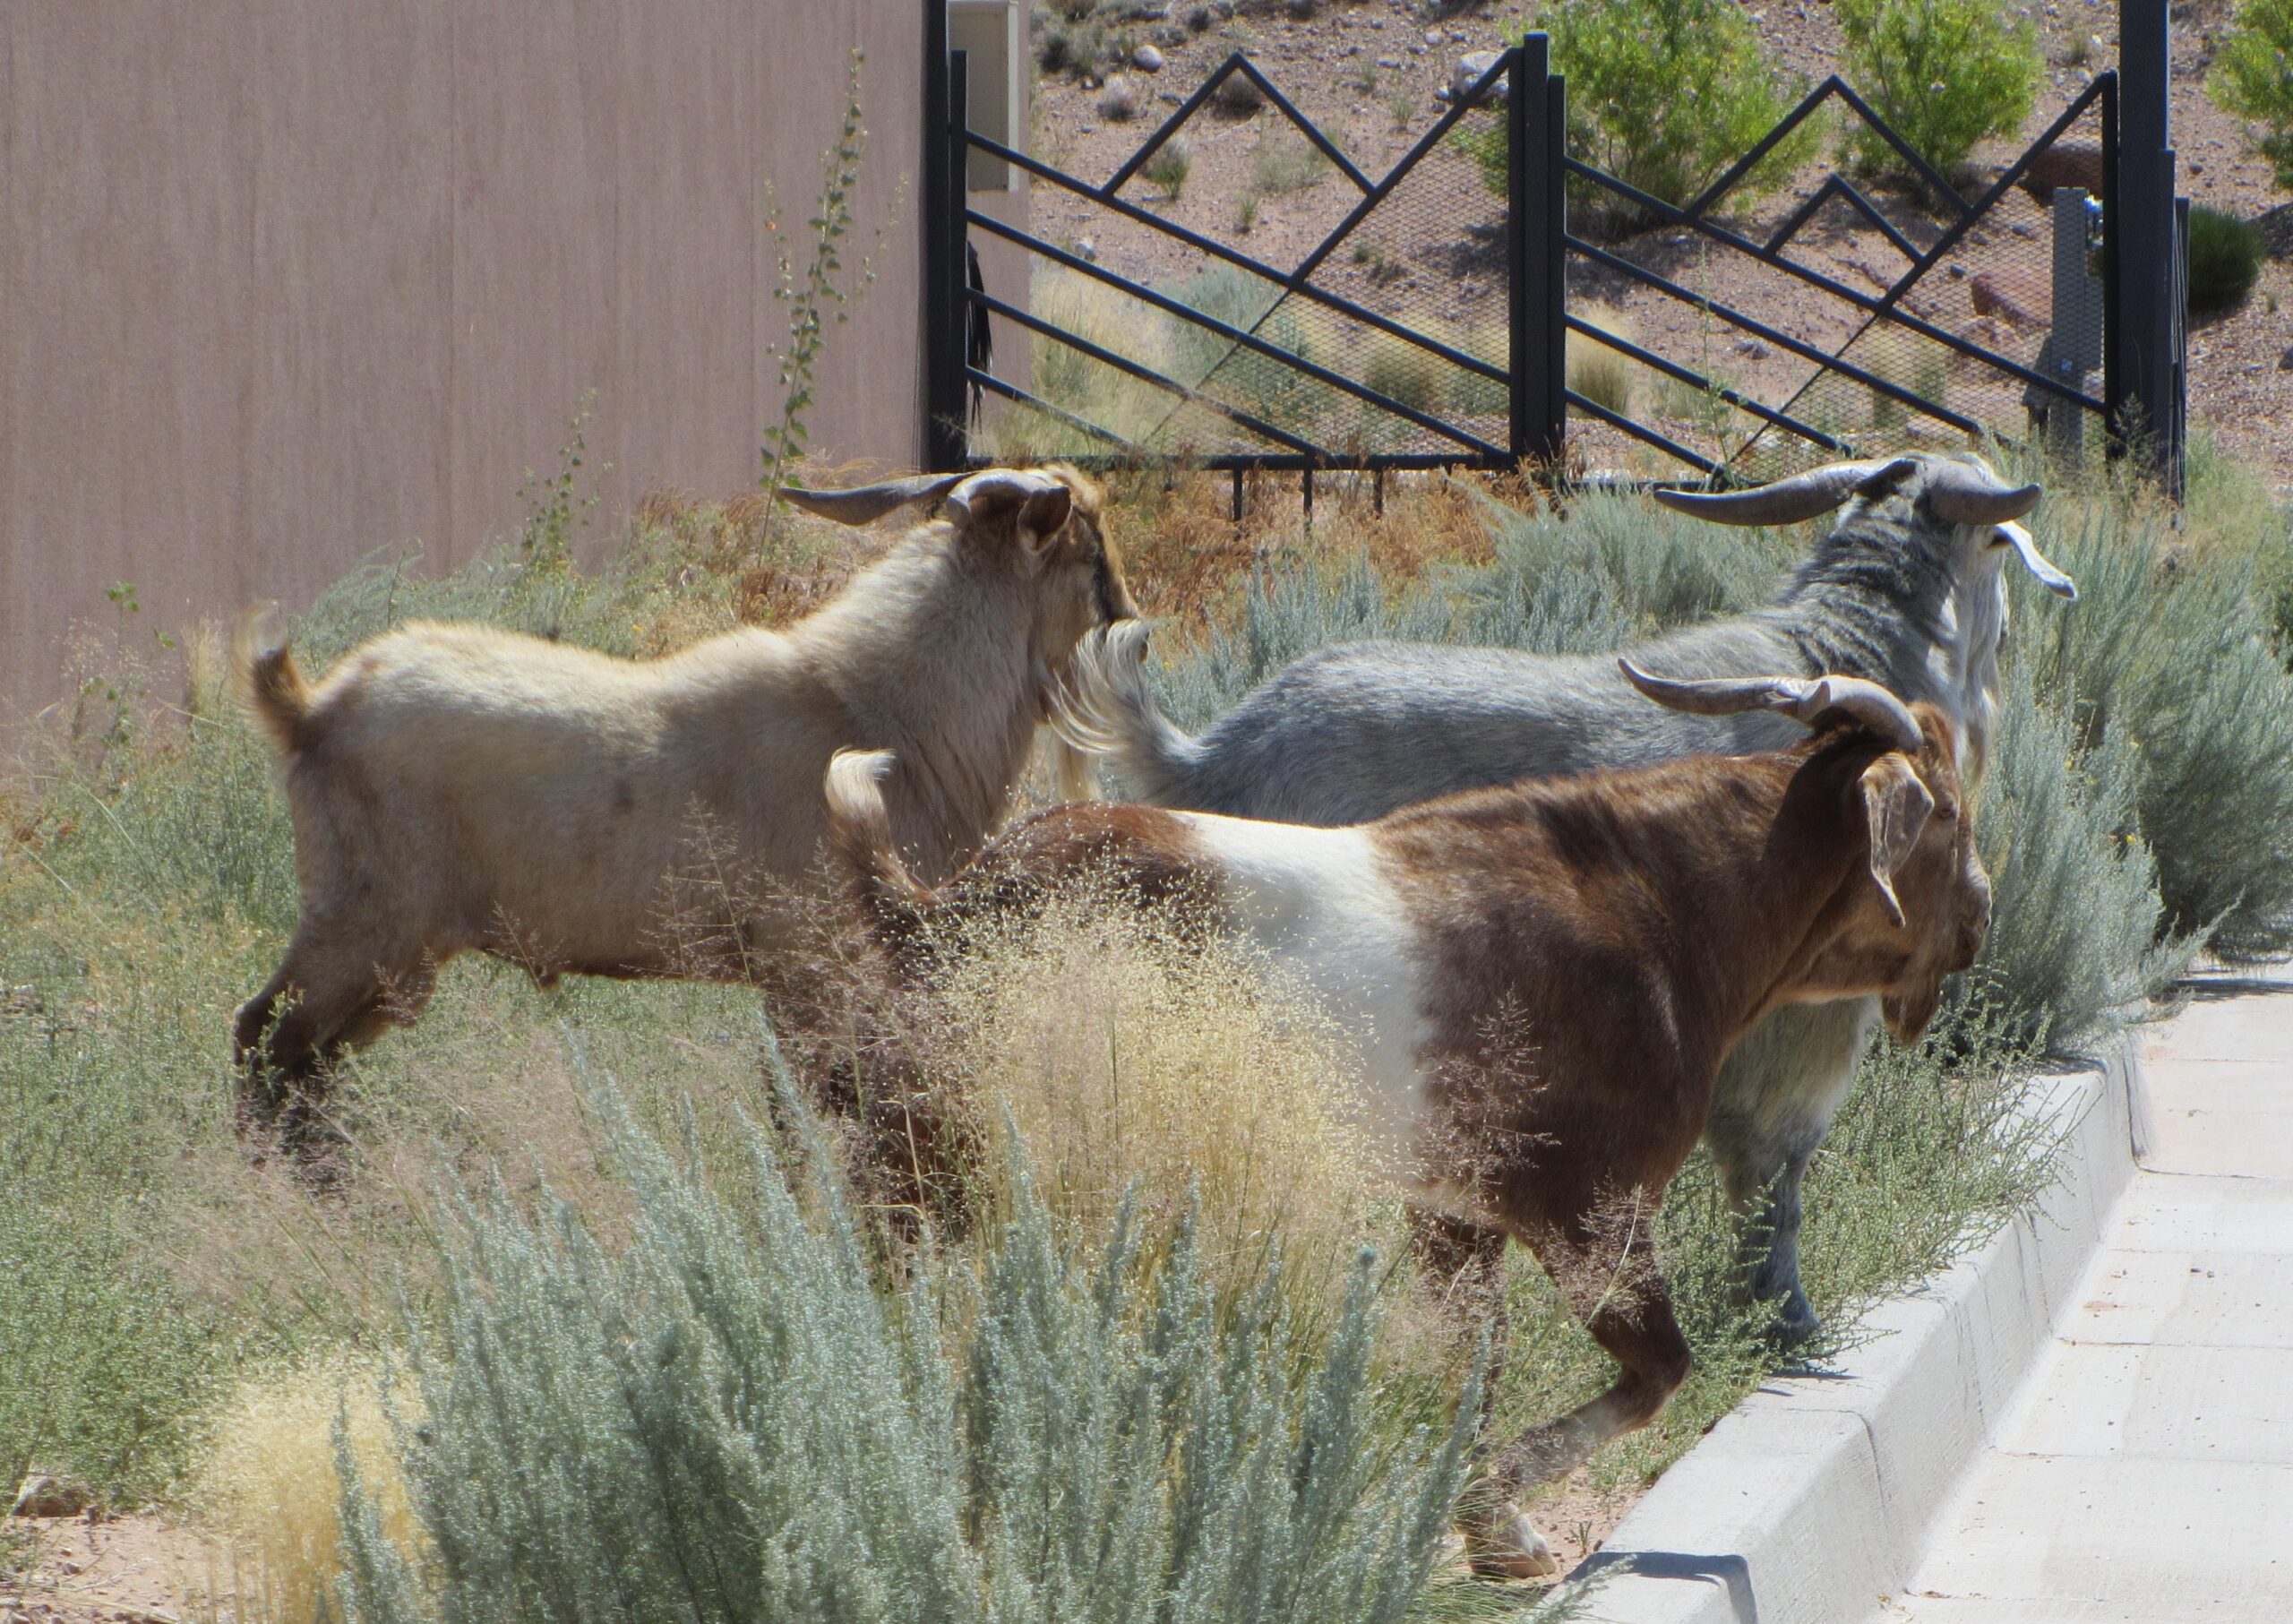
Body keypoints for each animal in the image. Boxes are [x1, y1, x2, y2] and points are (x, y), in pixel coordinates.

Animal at [230, 465, 1136, 1149]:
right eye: (1092, 553)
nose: (1137, 626)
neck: (874, 710)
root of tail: (313, 710)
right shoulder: (811, 967)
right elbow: (807, 1110)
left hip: (397, 962)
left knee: (309, 1070)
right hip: (365, 924)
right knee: (265, 1041)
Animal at [827, 662, 1991, 1578]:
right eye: (1948, 812)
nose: (1981, 916)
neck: (1660, 910)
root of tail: (938, 909)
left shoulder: (1454, 1219)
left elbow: (1472, 1366)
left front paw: (1482, 1521)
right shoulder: (1586, 1207)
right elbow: (1659, 1371)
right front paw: (1508, 1515)